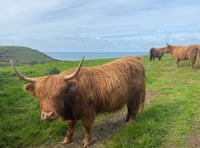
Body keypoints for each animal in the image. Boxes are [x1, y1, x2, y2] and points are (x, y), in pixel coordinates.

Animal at [9, 56, 145, 147]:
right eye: (39, 96)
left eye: (59, 94)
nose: (48, 115)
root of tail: (135, 58)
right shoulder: (70, 113)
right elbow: (70, 125)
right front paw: (67, 139)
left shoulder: (87, 111)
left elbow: (87, 126)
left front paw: (86, 141)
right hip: (128, 95)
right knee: (129, 107)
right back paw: (126, 119)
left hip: (136, 94)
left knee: (134, 108)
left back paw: (130, 122)